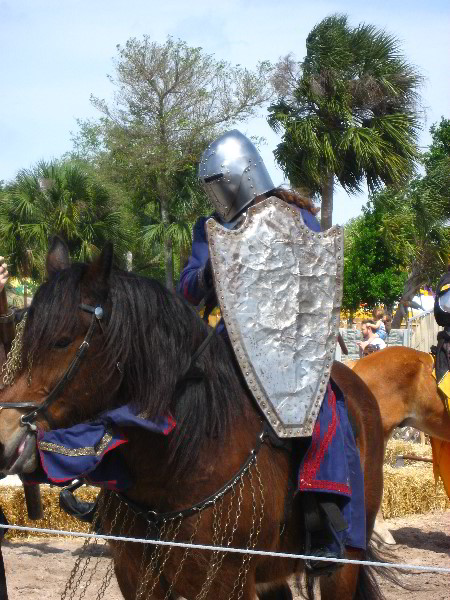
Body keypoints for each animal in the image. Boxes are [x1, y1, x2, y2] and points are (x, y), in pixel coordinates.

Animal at [0, 239, 390, 600]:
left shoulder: (227, 582)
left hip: (344, 564)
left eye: (63, 341)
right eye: (22, 339)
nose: (5, 439)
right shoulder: (136, 577)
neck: (177, 462)